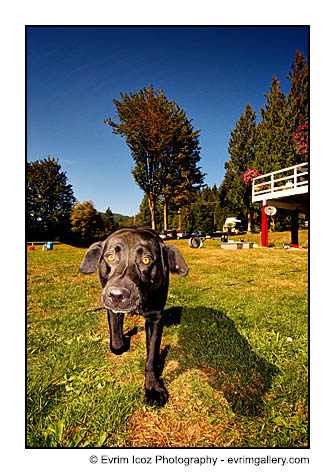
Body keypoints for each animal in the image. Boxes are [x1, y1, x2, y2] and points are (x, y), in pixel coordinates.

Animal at [79, 228, 189, 406]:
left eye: (146, 260)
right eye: (110, 257)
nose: (117, 295)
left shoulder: (156, 317)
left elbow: (152, 356)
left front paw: (153, 387)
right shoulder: (112, 310)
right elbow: (116, 345)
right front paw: (125, 339)